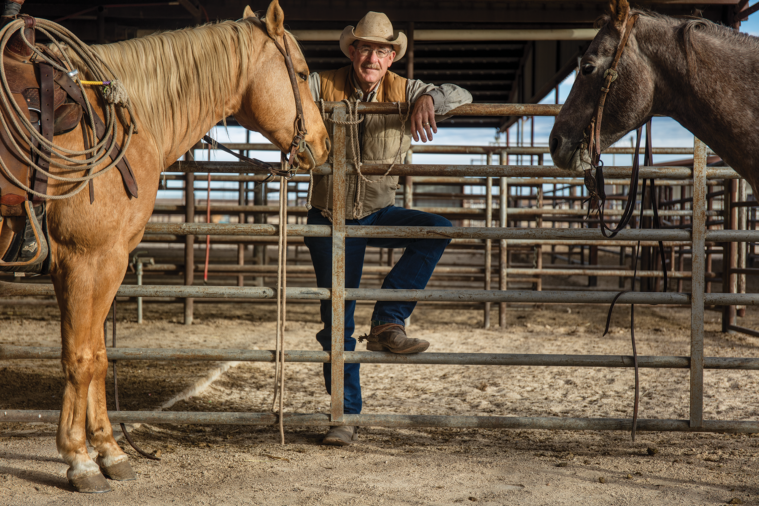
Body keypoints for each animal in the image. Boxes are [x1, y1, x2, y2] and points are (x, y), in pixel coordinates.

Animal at [2, 0, 330, 490]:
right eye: (304, 72)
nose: (325, 144)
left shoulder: (98, 264)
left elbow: (99, 355)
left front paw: (111, 451)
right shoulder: (88, 260)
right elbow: (81, 357)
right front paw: (80, 460)